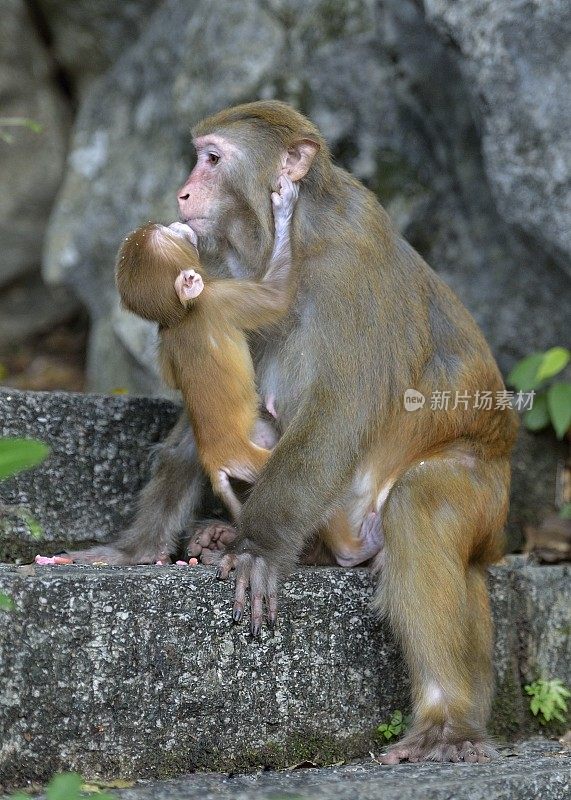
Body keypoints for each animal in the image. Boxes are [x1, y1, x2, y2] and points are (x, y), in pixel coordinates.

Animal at [115, 180, 382, 564]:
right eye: (173, 237)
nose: (177, 225)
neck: (182, 315)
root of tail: (216, 461)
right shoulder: (220, 299)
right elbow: (277, 296)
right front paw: (284, 208)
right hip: (256, 459)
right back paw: (351, 550)